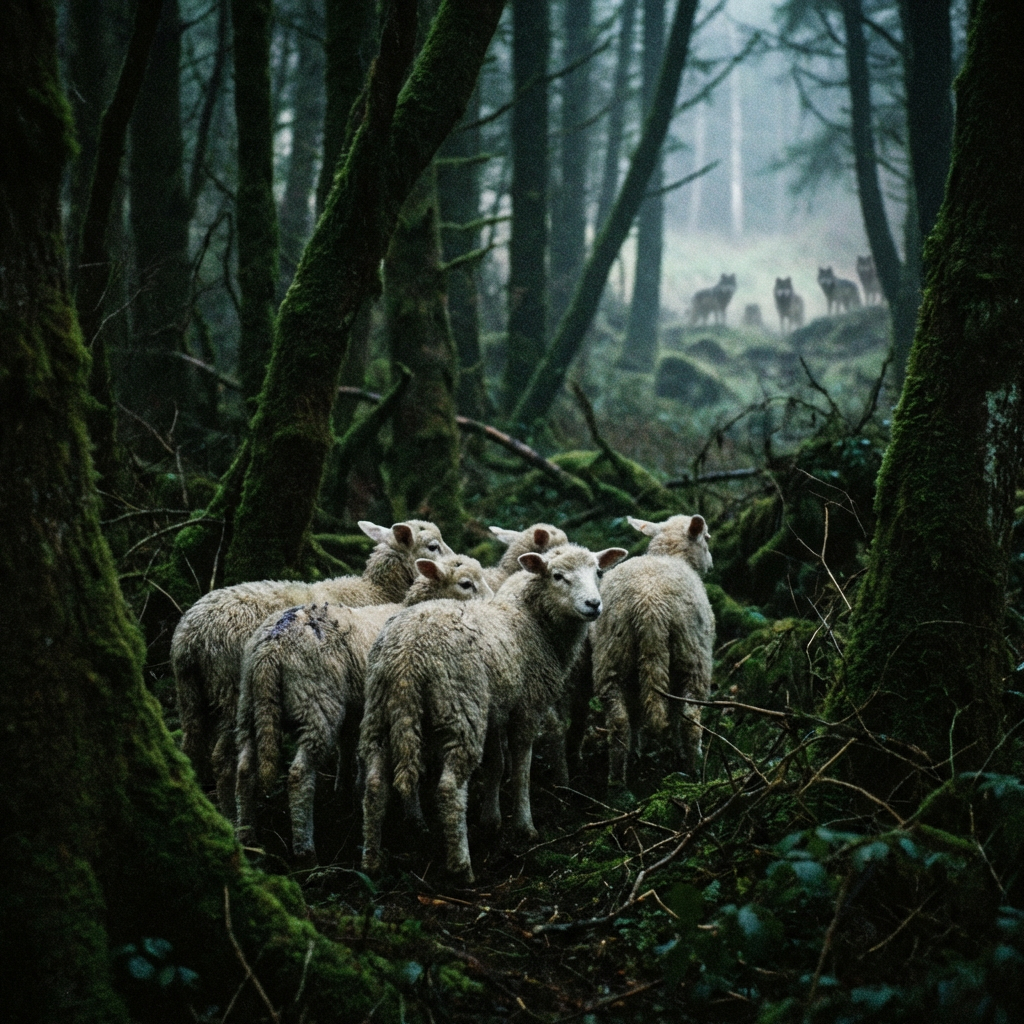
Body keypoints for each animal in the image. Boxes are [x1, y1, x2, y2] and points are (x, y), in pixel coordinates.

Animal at [171, 519, 452, 817]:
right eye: (433, 546)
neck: (377, 591)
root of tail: (191, 636)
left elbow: (347, 741)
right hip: (228, 688)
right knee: (221, 757)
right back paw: (227, 811)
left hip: (190, 692)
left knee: (190, 747)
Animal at [234, 554, 492, 865]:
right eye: (466, 584)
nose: (493, 605)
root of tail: (271, 649)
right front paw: (414, 818)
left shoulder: (361, 712)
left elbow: (352, 753)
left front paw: (350, 794)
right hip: (316, 702)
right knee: (298, 775)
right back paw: (305, 849)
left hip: (249, 703)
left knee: (244, 768)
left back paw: (246, 837)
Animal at [359, 543, 627, 884]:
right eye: (557, 576)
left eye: (599, 572)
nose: (593, 605)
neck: (533, 621)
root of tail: (408, 654)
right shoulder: (526, 705)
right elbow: (521, 768)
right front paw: (524, 826)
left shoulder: (496, 708)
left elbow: (496, 765)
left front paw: (491, 819)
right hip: (461, 707)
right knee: (449, 788)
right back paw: (461, 866)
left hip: (381, 710)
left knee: (375, 784)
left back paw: (371, 863)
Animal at [591, 514, 715, 792]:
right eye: (706, 538)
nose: (711, 565)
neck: (670, 555)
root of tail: (649, 605)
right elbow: (676, 714)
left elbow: (637, 713)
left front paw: (637, 749)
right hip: (693, 655)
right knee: (690, 716)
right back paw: (695, 770)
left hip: (613, 655)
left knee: (619, 721)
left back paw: (617, 781)